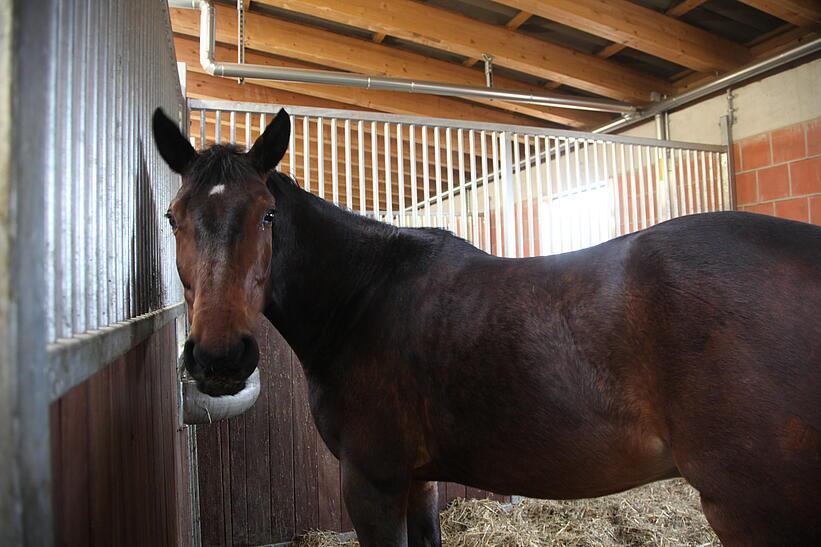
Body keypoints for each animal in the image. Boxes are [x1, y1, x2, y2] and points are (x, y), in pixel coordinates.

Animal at [155, 108, 820, 547]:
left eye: (267, 214)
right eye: (173, 217)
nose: (220, 359)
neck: (365, 295)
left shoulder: (371, 482)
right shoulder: (416, 483)